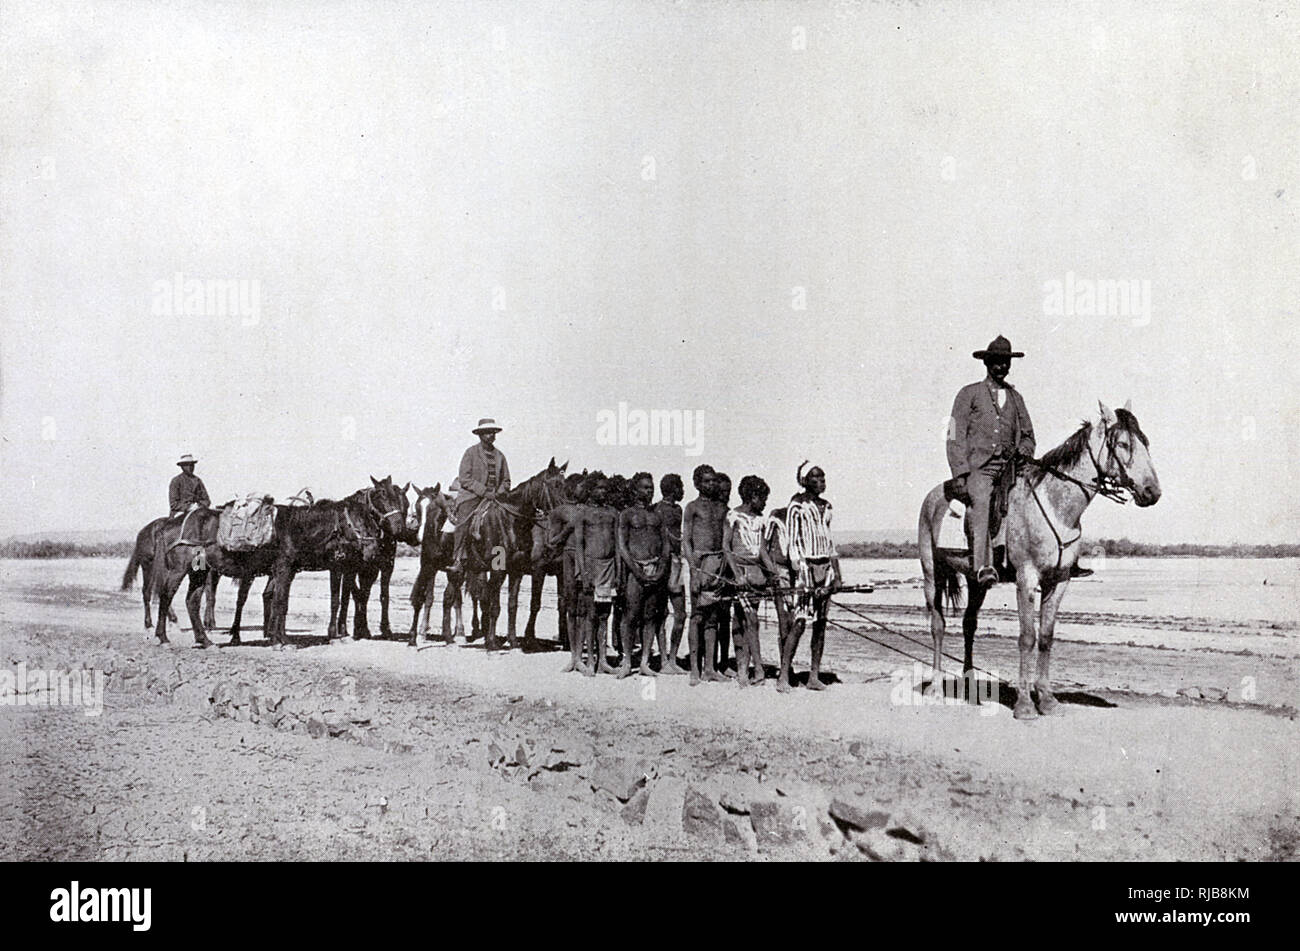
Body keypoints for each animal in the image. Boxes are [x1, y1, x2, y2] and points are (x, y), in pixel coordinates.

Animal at [920, 400, 1164, 722]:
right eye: (1123, 444)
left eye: (1145, 442)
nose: (1152, 492)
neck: (1055, 505)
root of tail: (934, 495)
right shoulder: (1027, 579)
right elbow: (1027, 637)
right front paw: (1025, 705)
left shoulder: (1059, 581)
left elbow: (1046, 636)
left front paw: (1047, 700)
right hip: (931, 574)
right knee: (938, 625)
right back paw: (935, 687)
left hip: (977, 580)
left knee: (969, 624)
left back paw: (971, 687)